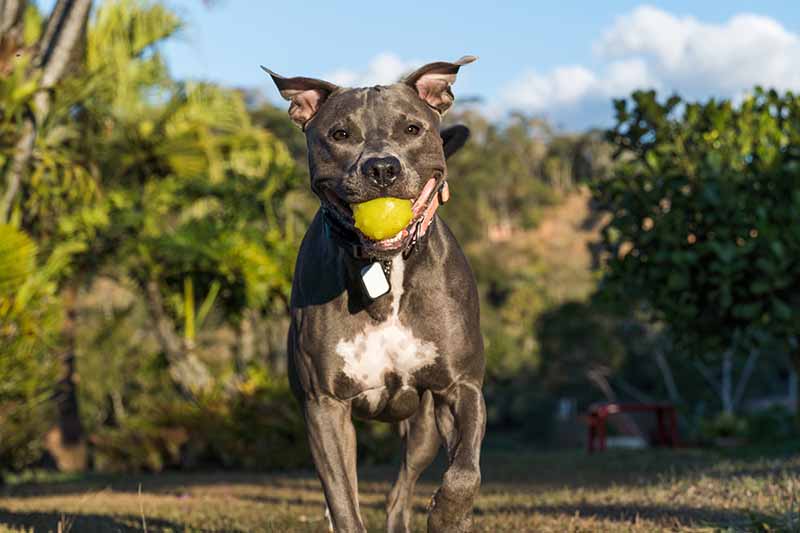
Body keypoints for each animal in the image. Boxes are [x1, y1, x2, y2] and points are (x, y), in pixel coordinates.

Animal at [266, 56, 484, 528]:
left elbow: (465, 472)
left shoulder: (460, 387)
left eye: (412, 129)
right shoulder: (325, 405)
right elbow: (343, 503)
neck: (385, 264)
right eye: (340, 134)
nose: (382, 168)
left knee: (400, 491)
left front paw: (449, 516)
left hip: (422, 428)